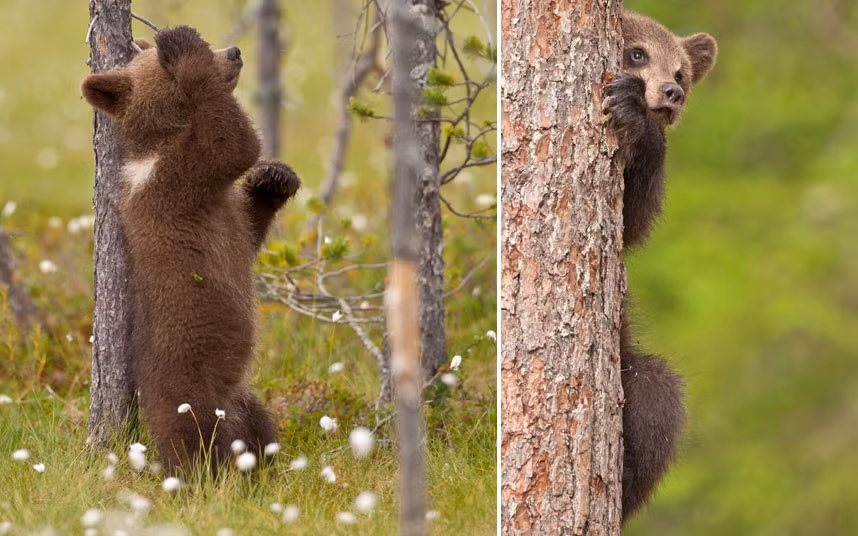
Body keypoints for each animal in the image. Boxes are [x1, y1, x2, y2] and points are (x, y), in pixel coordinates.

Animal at [81, 25, 301, 473]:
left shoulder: (220, 205)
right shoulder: (180, 179)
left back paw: (264, 464)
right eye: (162, 63)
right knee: (196, 441)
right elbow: (229, 143)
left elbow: (247, 231)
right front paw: (182, 42)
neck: (160, 142)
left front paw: (274, 177)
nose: (233, 52)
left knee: (260, 427)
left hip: (242, 397)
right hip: (187, 387)